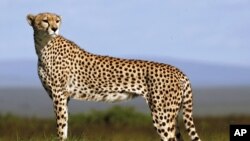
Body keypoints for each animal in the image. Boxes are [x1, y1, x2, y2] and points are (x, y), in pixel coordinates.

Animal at [26, 12, 201, 141]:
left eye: (57, 20)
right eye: (45, 20)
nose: (55, 28)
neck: (43, 45)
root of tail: (178, 70)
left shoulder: (59, 94)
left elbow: (61, 124)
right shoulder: (63, 96)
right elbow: (65, 122)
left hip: (162, 114)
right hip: (172, 114)